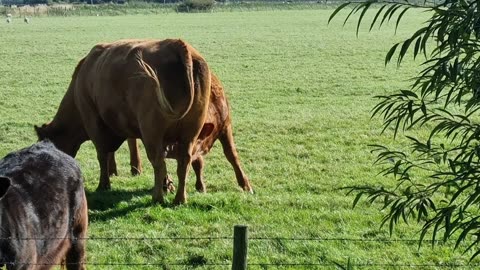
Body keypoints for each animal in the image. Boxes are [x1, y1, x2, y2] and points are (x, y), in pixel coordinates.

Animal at [107, 73, 253, 193]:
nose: (171, 150)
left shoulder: (226, 125)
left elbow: (231, 154)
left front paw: (245, 185)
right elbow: (196, 163)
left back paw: (130, 168)